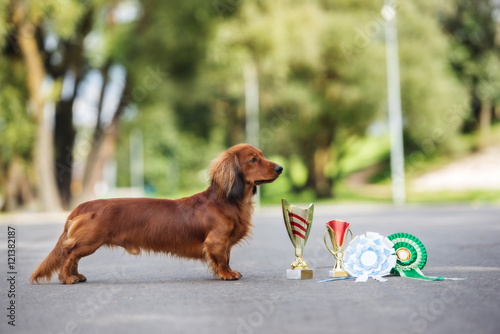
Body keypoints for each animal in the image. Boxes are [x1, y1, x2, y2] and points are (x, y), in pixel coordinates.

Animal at [30, 144, 282, 284]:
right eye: (253, 159)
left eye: (262, 155)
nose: (280, 168)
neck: (225, 201)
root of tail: (83, 206)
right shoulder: (217, 241)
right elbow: (222, 259)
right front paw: (227, 274)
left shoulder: (224, 243)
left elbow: (227, 257)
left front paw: (227, 272)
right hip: (89, 241)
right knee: (67, 254)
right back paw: (67, 278)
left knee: (73, 257)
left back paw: (76, 276)